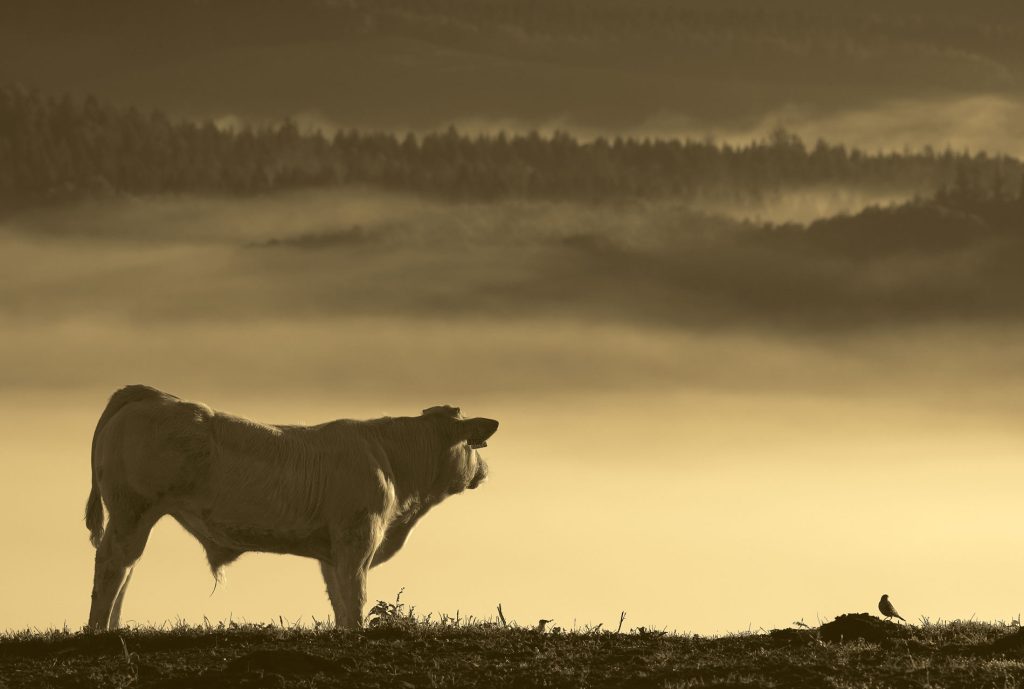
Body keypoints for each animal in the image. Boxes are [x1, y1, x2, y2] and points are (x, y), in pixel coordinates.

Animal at [81, 384, 497, 630]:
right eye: (475, 445)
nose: (484, 471)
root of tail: (152, 394)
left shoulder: (333, 549)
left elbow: (339, 598)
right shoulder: (358, 537)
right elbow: (355, 594)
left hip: (136, 517)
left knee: (126, 568)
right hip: (132, 511)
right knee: (112, 566)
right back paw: (100, 630)